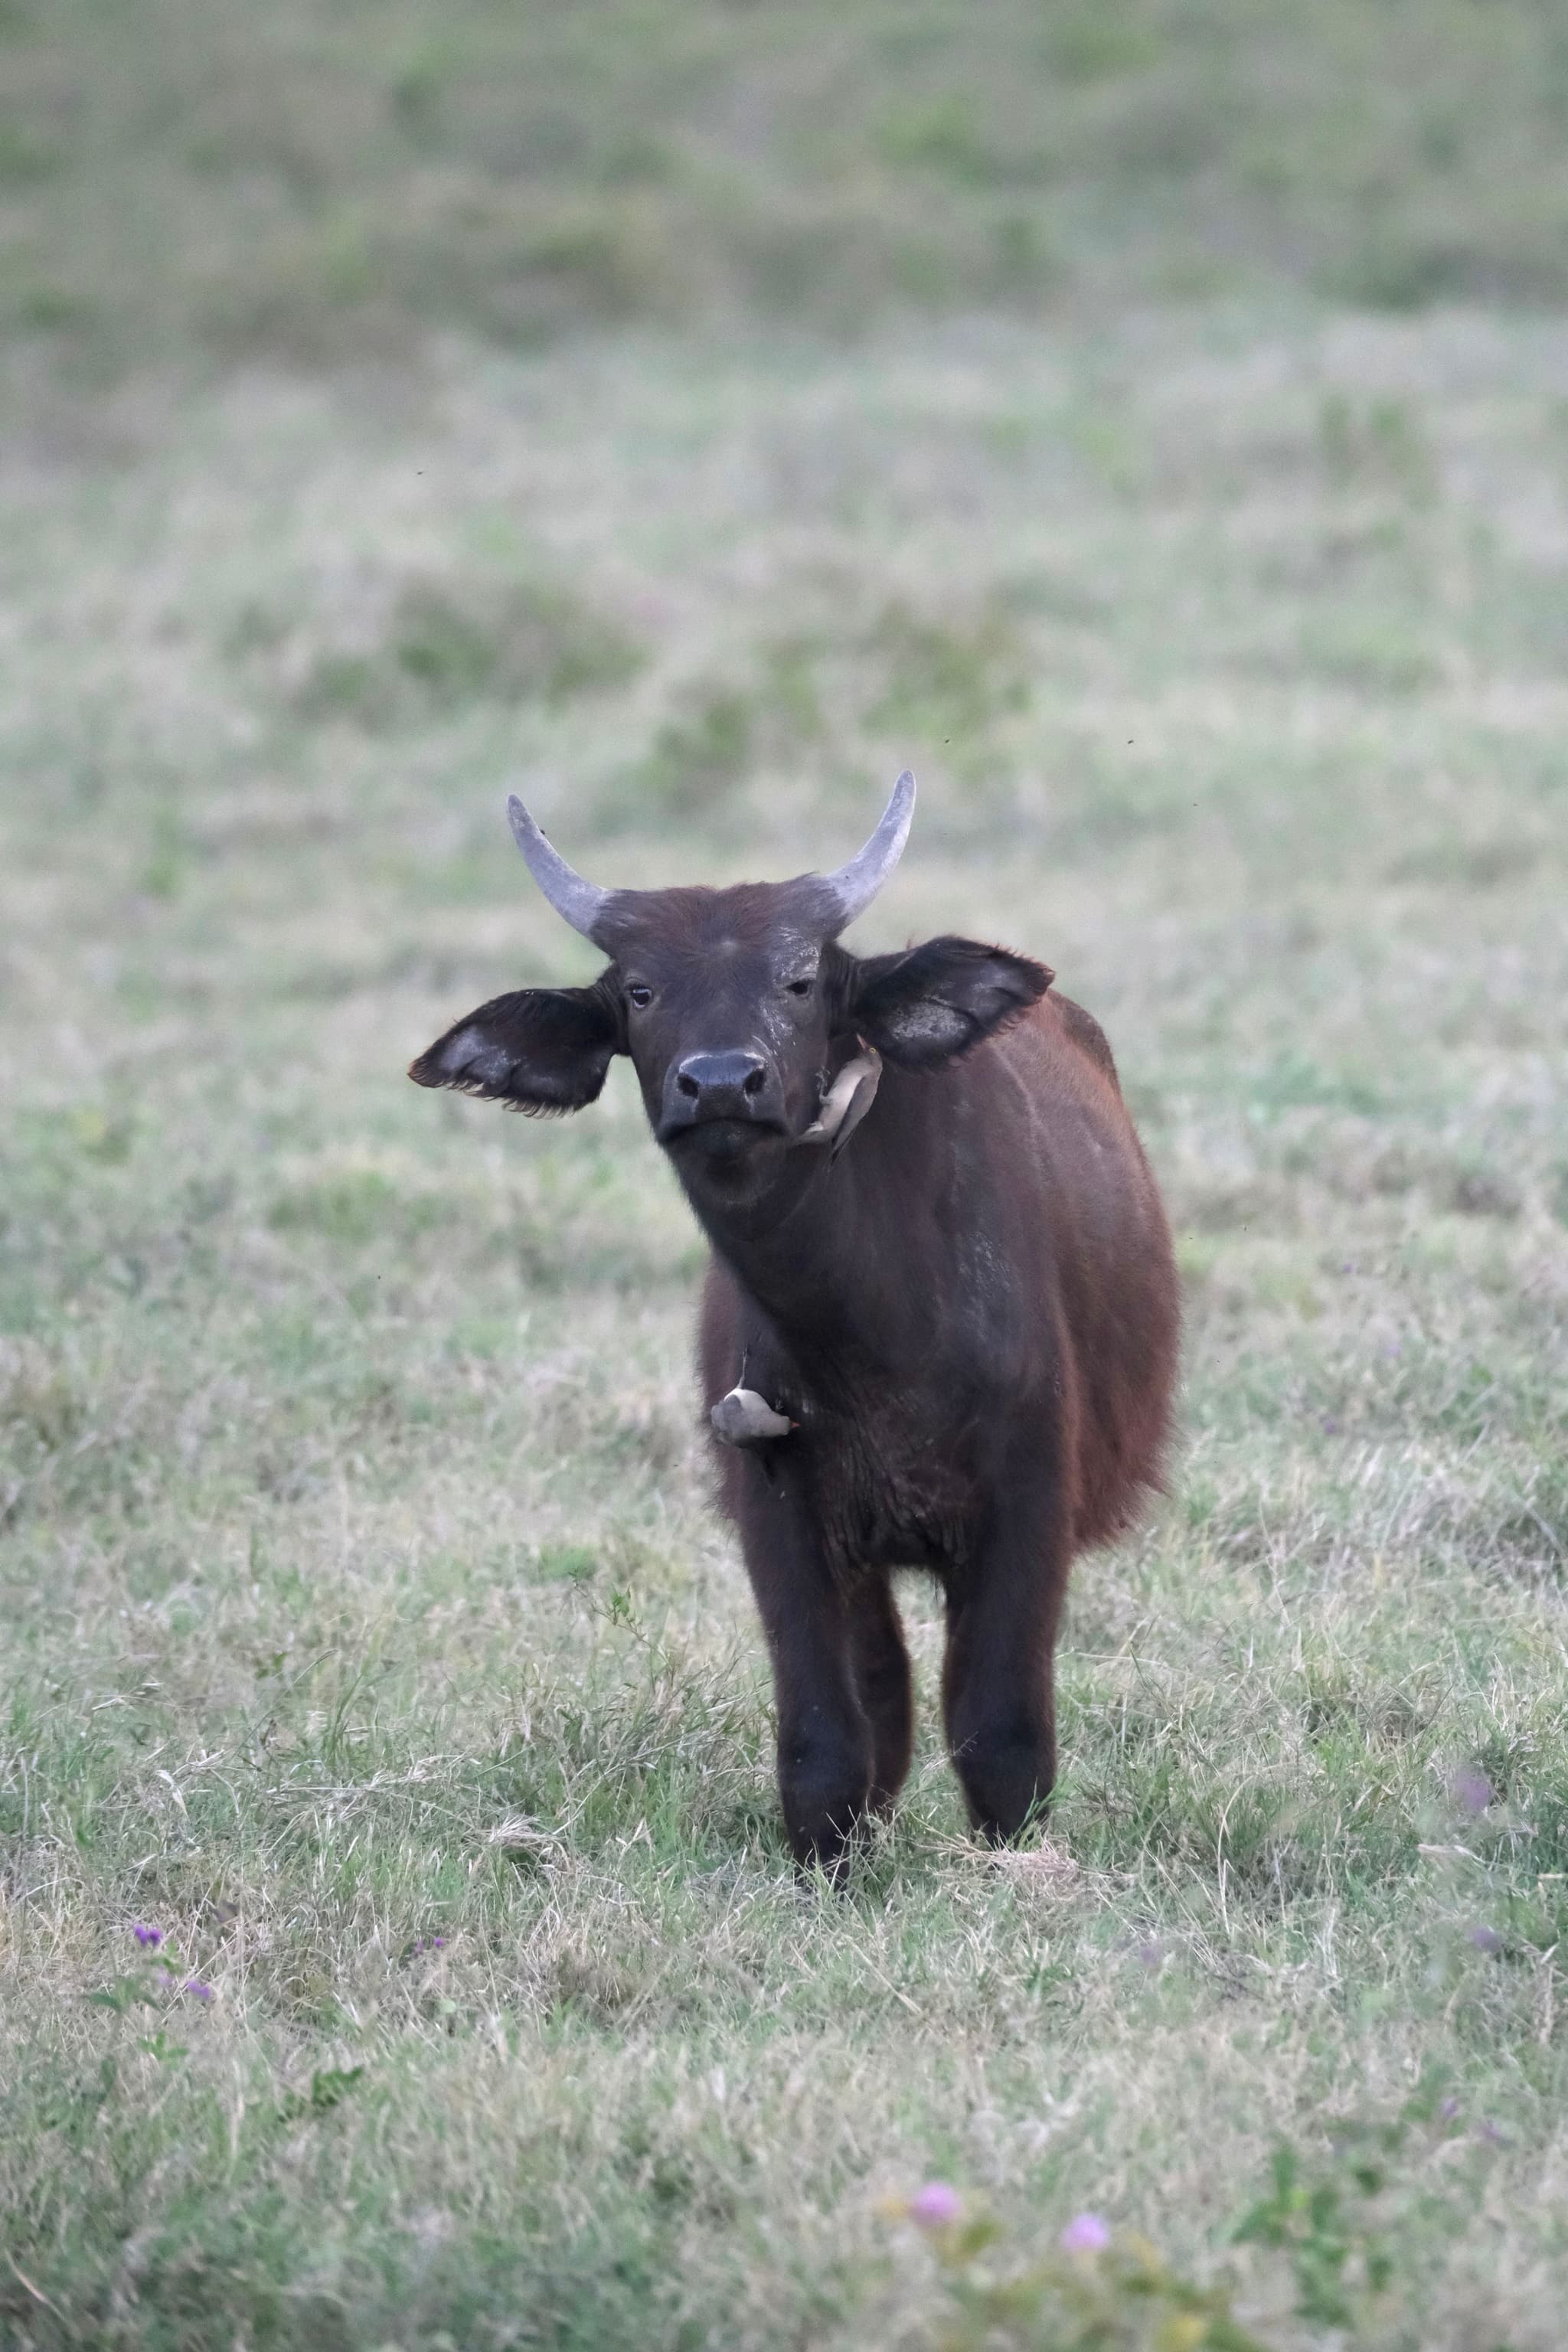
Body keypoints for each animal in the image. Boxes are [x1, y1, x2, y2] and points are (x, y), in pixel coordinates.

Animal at [411, 774, 1178, 1870]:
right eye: (638, 989)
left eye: (800, 979)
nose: (720, 1082)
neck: (870, 1332)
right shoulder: (782, 1520)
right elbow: (827, 1742)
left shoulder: (1028, 1504)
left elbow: (998, 1733)